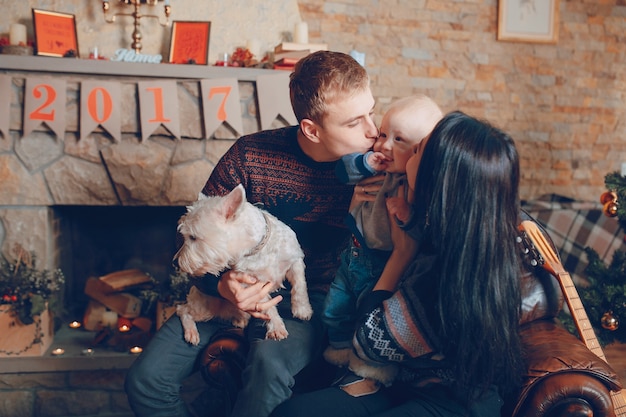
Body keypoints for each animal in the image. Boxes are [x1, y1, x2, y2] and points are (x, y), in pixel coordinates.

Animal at [172, 184, 310, 342]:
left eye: (193, 237)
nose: (175, 262)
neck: (257, 248)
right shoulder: (252, 285)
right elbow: (267, 306)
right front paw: (276, 327)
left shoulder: (295, 259)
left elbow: (300, 285)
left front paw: (303, 309)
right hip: (205, 305)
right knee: (182, 310)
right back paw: (191, 333)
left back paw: (239, 319)